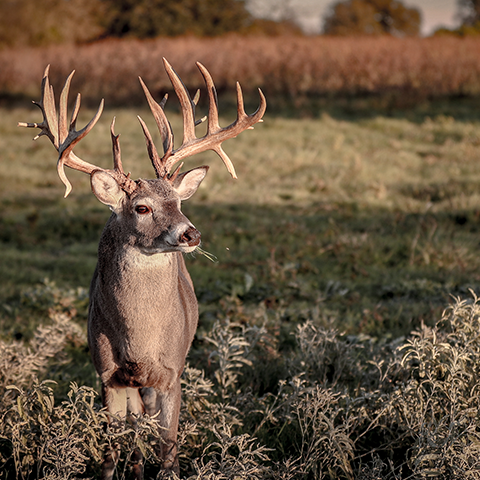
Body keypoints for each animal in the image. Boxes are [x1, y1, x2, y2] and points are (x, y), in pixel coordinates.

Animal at [19, 61, 266, 480]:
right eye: (142, 207)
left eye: (179, 201)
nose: (191, 234)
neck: (138, 344)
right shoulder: (108, 375)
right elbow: (110, 448)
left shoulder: (172, 373)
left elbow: (168, 449)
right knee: (134, 429)